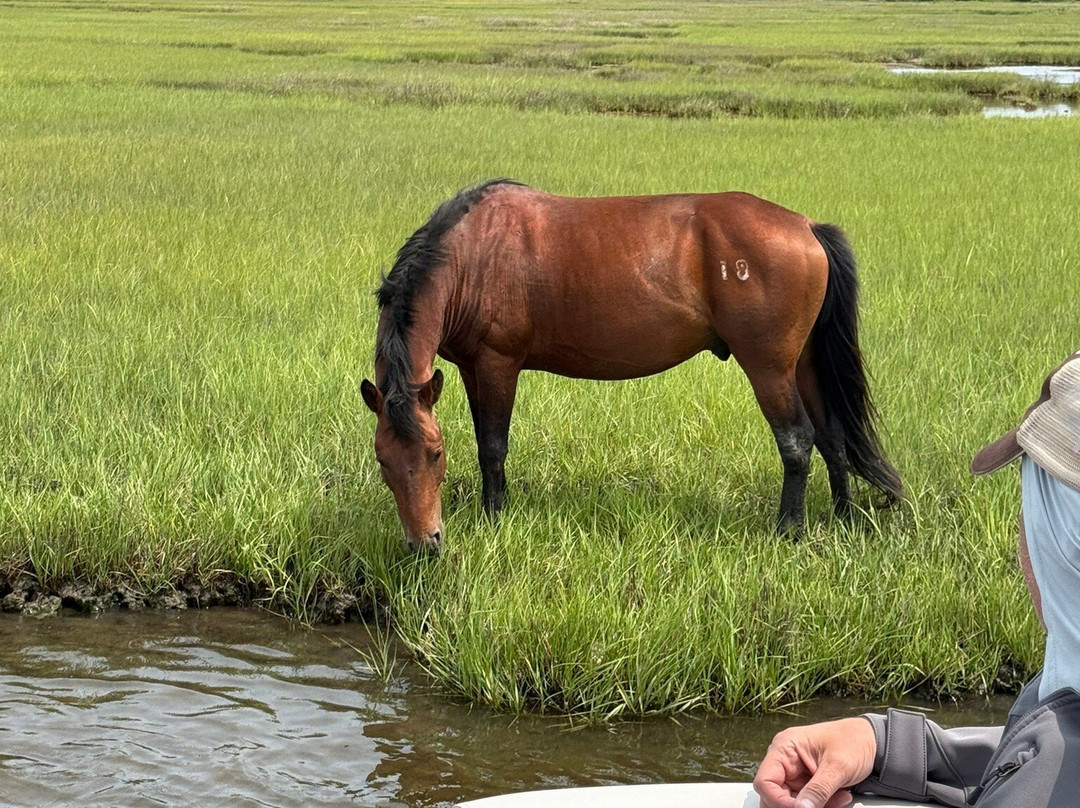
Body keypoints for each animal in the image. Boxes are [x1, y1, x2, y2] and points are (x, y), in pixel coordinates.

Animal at [361, 179, 902, 551]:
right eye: (383, 461)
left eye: (434, 454)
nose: (424, 544)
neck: (472, 253)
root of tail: (805, 226)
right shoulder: (471, 368)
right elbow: (481, 443)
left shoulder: (498, 362)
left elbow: (493, 446)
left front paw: (495, 518)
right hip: (803, 362)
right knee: (832, 435)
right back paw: (844, 519)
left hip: (769, 367)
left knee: (797, 439)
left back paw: (789, 529)